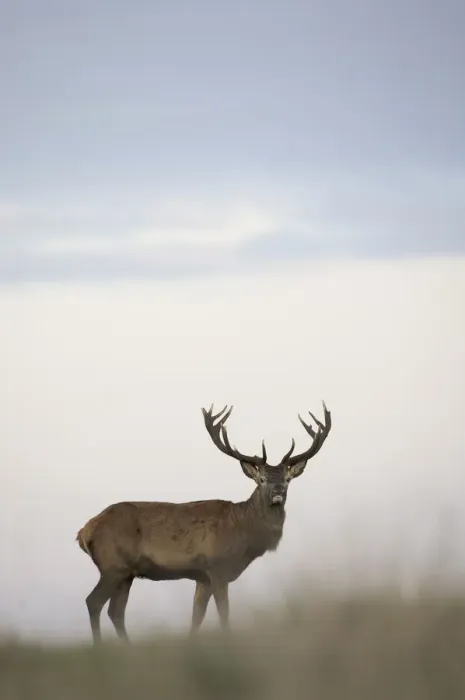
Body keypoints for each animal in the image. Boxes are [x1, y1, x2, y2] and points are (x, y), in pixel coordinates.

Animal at [76, 402, 331, 644]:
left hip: (126, 573)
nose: (277, 490)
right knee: (93, 602)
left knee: (115, 611)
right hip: (112, 564)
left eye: (288, 479)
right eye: (261, 479)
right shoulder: (218, 567)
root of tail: (84, 532)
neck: (243, 532)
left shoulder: (203, 577)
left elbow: (196, 617)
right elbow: (224, 616)